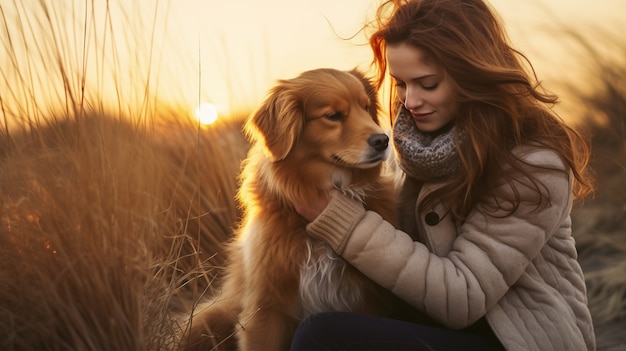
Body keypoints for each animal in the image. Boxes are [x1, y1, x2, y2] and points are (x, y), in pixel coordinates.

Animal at [180, 69, 402, 351]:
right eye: (333, 116)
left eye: (365, 108)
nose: (383, 140)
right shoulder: (266, 308)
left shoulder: (365, 302)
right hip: (205, 320)